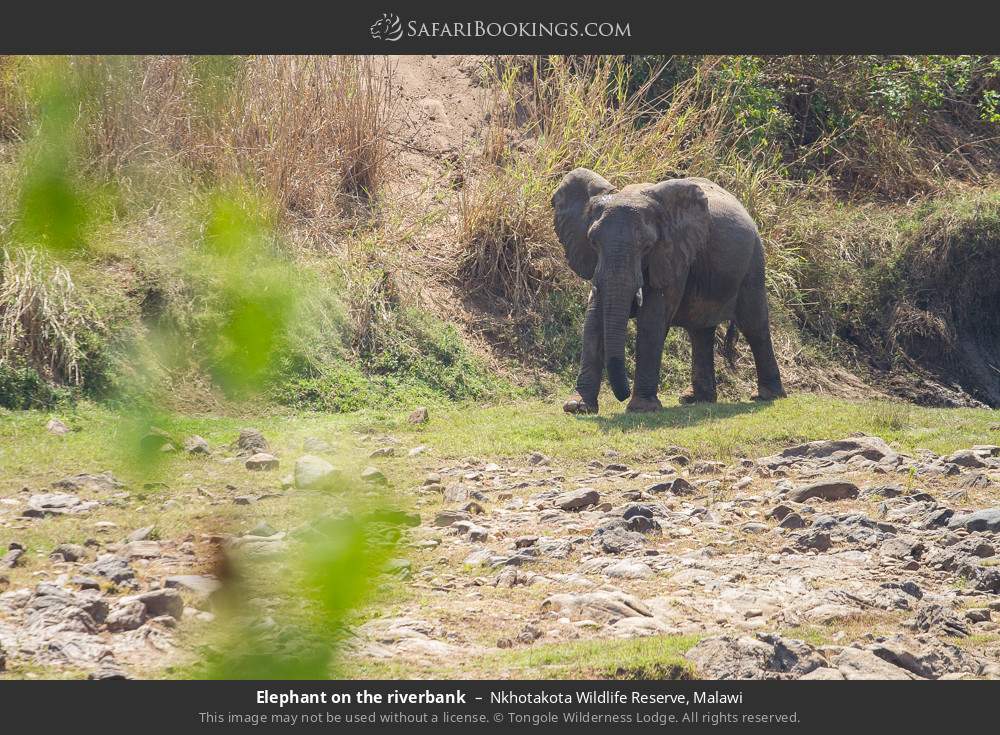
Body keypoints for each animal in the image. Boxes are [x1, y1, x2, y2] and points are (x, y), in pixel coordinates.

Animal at [551, 167, 786, 414]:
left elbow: (652, 320)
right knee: (701, 331)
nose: (622, 396)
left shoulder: (672, 254)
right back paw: (696, 399)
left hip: (753, 263)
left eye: (647, 246)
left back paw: (766, 396)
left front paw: (642, 409)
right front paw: (576, 407)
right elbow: (594, 318)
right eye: (593, 242)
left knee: (754, 325)